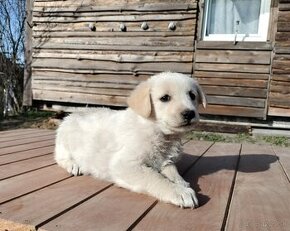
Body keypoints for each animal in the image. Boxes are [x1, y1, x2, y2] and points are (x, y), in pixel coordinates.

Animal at [54, 71, 207, 208]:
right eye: (165, 98)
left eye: (192, 95)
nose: (189, 113)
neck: (157, 131)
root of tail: (73, 114)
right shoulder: (124, 164)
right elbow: (155, 178)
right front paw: (179, 192)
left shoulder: (165, 159)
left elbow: (172, 170)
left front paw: (180, 182)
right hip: (63, 145)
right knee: (61, 158)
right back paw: (74, 165)